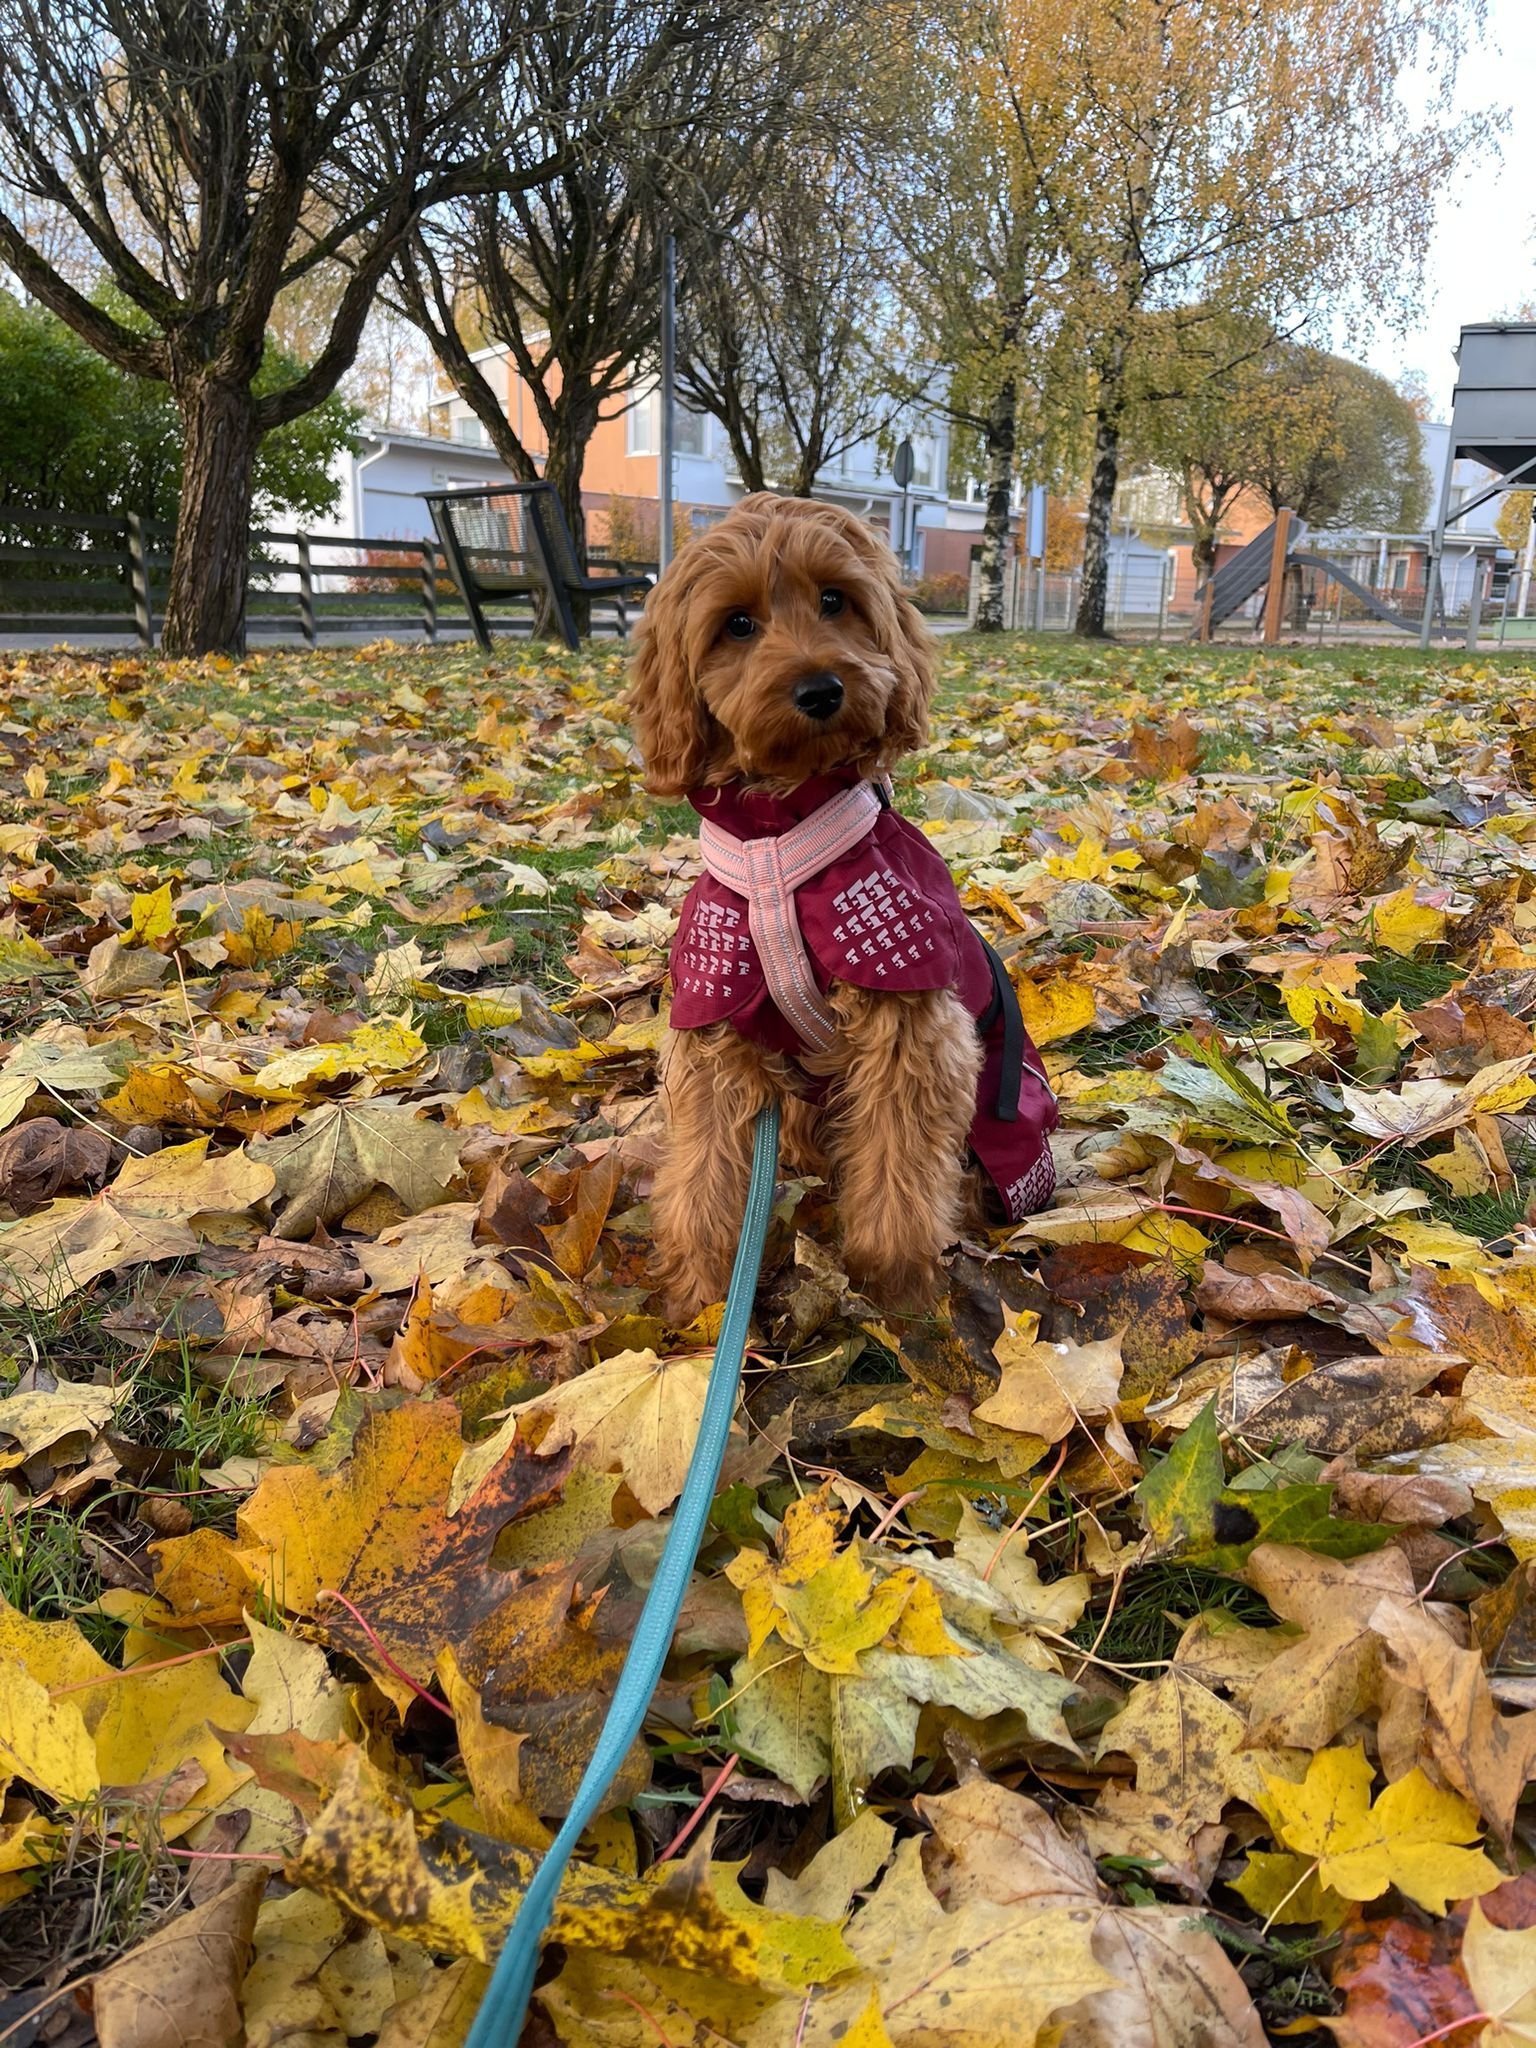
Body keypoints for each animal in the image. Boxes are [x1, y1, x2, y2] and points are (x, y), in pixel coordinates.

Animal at [630, 495, 1064, 1310]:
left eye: (835, 600)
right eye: (737, 623)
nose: (822, 689)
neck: (776, 847)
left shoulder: (905, 1008)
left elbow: (897, 1157)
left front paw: (893, 1281)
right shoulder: (715, 1013)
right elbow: (702, 1166)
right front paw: (703, 1289)